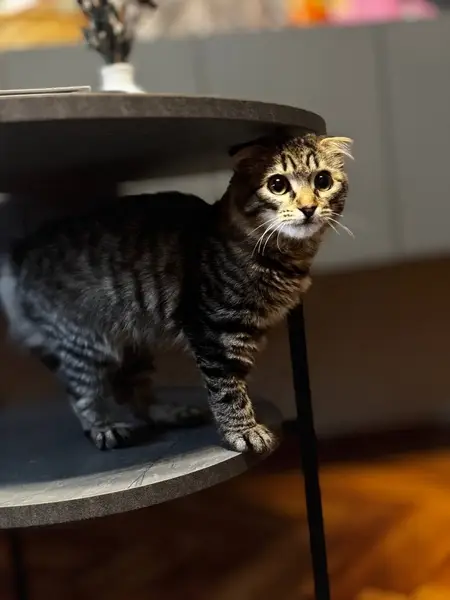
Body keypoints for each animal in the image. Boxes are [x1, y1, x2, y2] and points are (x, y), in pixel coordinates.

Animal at [0, 133, 352, 453]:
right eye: (277, 184)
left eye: (322, 181)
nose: (308, 208)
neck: (287, 259)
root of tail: (23, 248)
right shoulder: (215, 334)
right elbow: (229, 392)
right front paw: (243, 431)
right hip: (85, 344)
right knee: (83, 393)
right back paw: (103, 427)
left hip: (134, 342)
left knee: (133, 393)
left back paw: (167, 413)